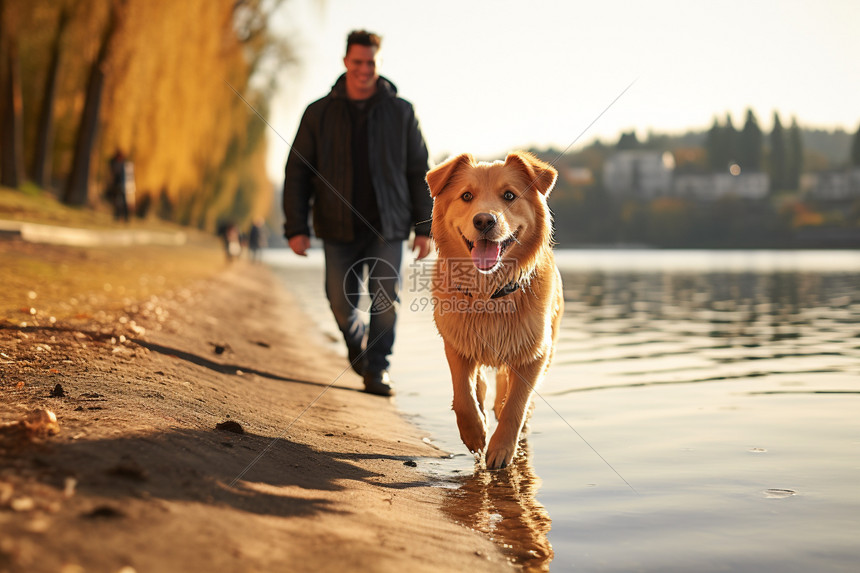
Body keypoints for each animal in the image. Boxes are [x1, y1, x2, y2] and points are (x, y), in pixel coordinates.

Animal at [424, 152, 564, 470]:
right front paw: (474, 433)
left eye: (509, 195)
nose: (484, 220)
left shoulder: (535, 352)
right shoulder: (455, 341)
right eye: (466, 196)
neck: (490, 291)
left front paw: (500, 448)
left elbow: (515, 404)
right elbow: (463, 393)